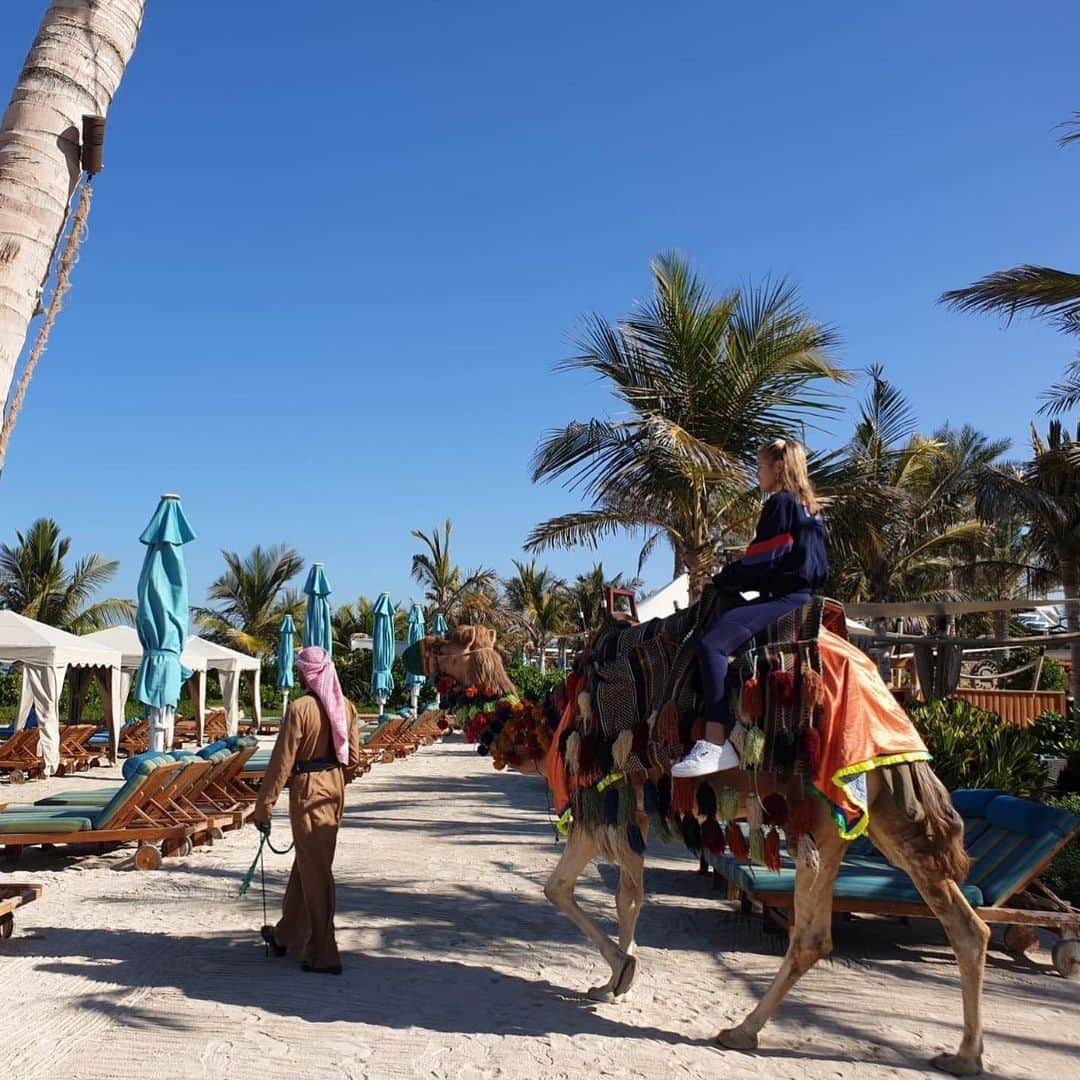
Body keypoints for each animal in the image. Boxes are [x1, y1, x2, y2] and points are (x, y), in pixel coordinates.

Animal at [410, 622, 989, 1075]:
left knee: (812, 936)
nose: (420, 646)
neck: (552, 725)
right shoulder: (630, 812)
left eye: (449, 639)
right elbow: (619, 896)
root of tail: (884, 694)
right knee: (964, 923)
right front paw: (613, 982)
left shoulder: (602, 806)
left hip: (819, 816)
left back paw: (741, 1031)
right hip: (881, 810)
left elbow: (569, 890)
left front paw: (621, 971)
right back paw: (964, 1056)